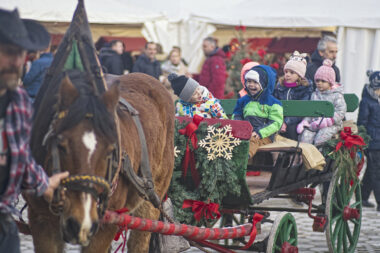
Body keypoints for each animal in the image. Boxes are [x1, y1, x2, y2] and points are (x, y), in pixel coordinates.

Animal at [24, 69, 176, 253]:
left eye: (111, 149)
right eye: (61, 146)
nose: (80, 223)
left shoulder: (107, 224)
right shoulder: (40, 219)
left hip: (152, 199)